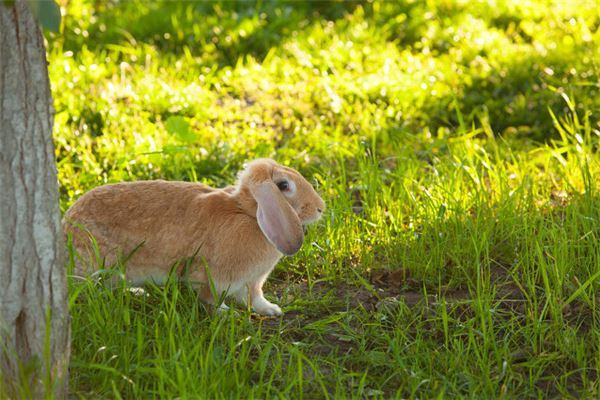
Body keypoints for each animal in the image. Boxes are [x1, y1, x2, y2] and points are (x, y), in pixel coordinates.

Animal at [63, 159, 326, 316]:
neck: (247, 213)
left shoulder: (253, 281)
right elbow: (210, 298)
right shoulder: (212, 276)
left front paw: (272, 310)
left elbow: (255, 297)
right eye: (283, 185)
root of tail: (66, 226)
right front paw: (225, 313)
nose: (320, 208)